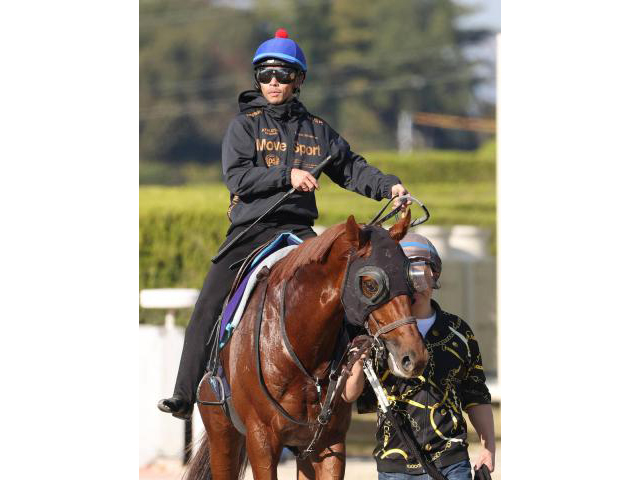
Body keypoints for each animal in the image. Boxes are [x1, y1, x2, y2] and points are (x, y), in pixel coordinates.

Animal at [185, 212, 429, 480]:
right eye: (371, 285)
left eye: (409, 280)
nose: (414, 356)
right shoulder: (261, 440)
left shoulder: (329, 442)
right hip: (222, 435)